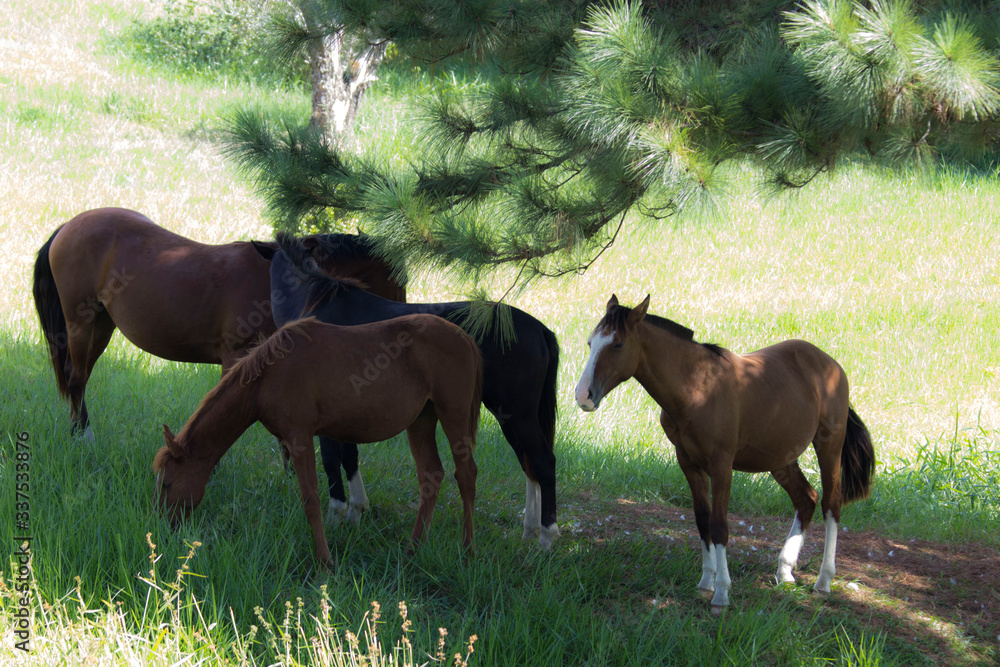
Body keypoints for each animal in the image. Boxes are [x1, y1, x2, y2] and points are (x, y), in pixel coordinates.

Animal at [32, 207, 404, 437]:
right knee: (76, 379)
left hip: (102, 325)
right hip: (79, 323)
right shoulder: (235, 357)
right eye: (395, 281)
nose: (402, 317)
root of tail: (68, 226)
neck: (275, 280)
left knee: (79, 377)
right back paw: (82, 436)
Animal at [153, 315, 483, 566]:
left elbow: (311, 499)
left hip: (452, 415)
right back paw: (413, 549)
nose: (162, 527)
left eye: (167, 483)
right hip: (421, 421)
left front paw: (325, 563)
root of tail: (466, 339)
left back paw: (468, 551)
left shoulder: (299, 438)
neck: (267, 376)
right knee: (431, 475)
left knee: (466, 475)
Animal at [253, 233, 562, 549]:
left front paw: (337, 517)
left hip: (517, 414)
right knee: (528, 464)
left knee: (543, 462)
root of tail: (539, 329)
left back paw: (546, 538)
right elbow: (350, 457)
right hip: (509, 416)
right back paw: (529, 530)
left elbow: (331, 460)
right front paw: (357, 511)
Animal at [574, 294, 875, 612]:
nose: (583, 396)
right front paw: (706, 581)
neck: (696, 387)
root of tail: (829, 364)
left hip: (829, 446)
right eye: (591, 342)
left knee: (831, 504)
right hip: (780, 459)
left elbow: (719, 525)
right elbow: (702, 520)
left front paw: (721, 593)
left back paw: (823, 581)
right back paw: (784, 571)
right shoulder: (688, 464)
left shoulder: (721, 466)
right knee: (806, 499)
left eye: (617, 344)